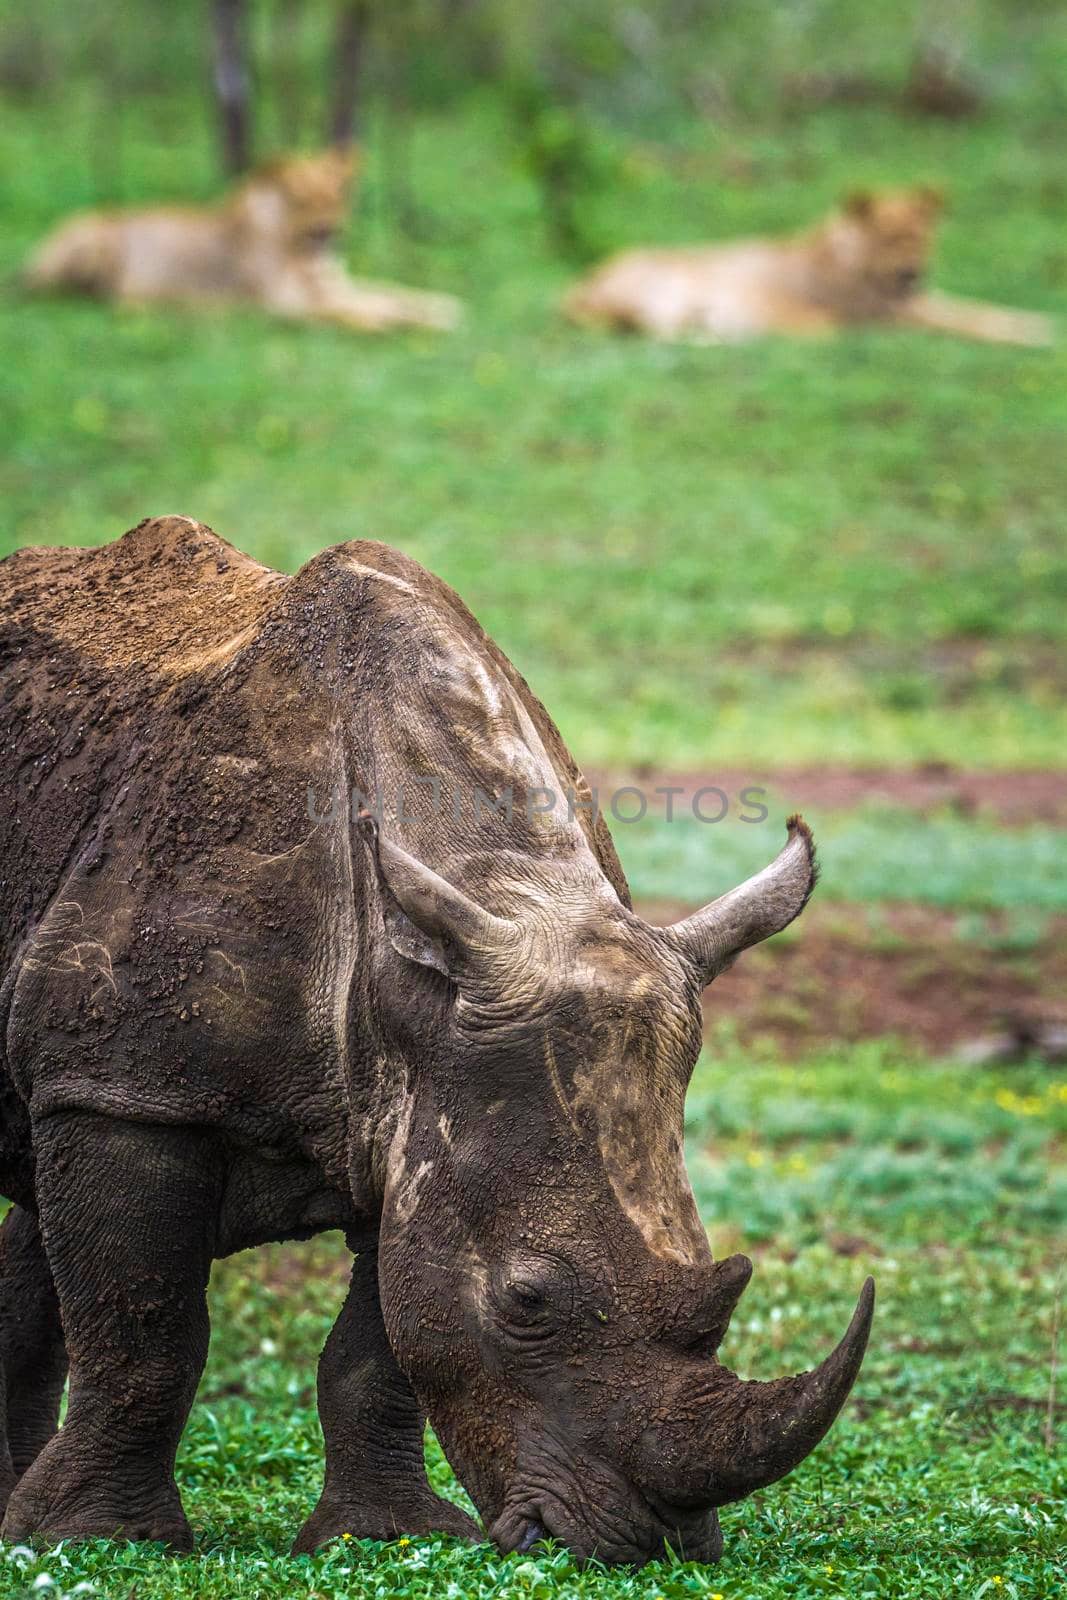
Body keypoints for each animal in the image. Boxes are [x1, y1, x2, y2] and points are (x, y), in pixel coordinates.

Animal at [22, 145, 460, 332]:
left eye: (336, 196)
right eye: (301, 199)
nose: (327, 232)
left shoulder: (337, 285)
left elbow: (397, 293)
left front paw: (440, 309)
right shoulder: (289, 304)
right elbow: (362, 312)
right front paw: (390, 322)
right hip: (99, 237)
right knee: (79, 296)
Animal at [563, 188, 1055, 348]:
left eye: (920, 235)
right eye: (887, 237)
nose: (913, 272)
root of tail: (579, 288)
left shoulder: (924, 301)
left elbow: (990, 311)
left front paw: (1042, 323)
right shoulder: (896, 316)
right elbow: (974, 326)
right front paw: (1038, 340)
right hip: (675, 284)